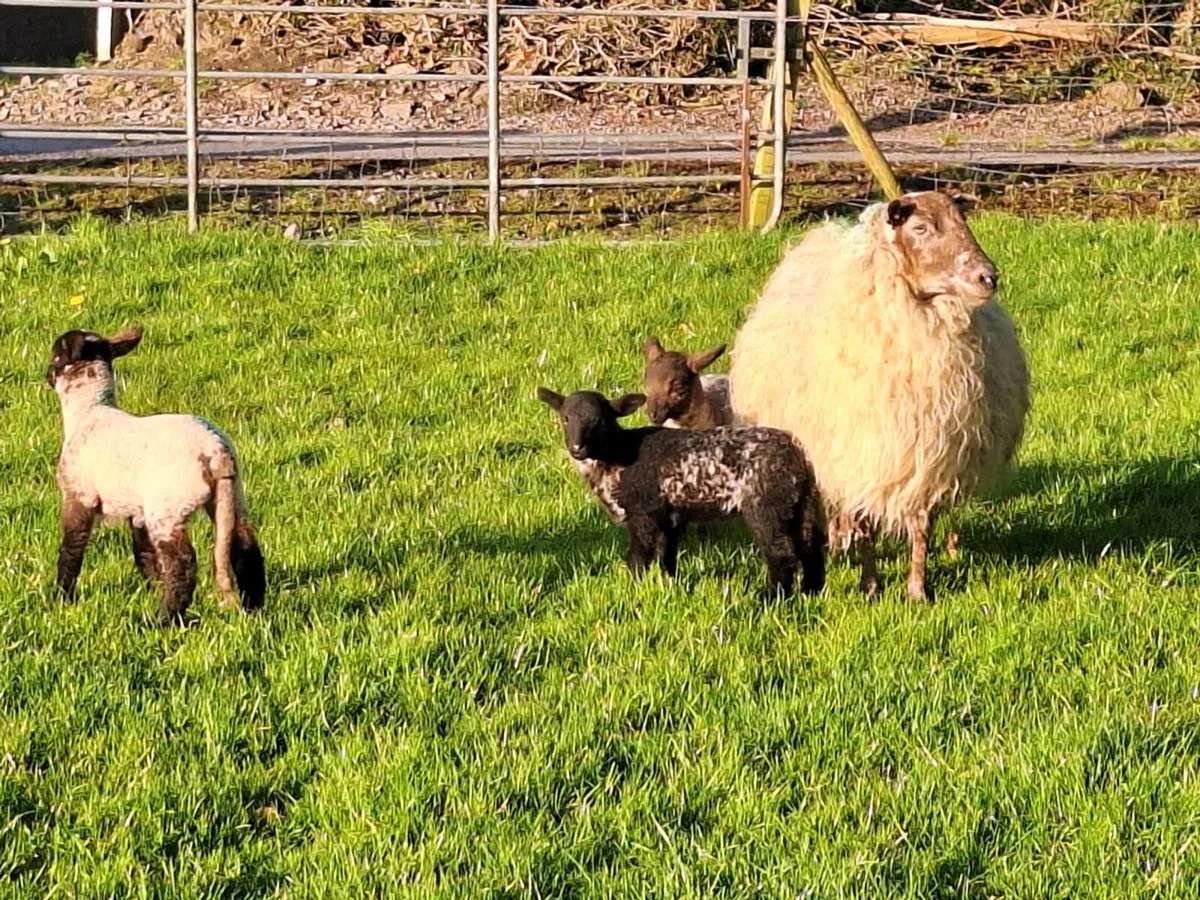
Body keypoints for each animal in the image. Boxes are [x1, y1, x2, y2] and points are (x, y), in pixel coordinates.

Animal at [46, 327, 266, 624]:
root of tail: (216, 451)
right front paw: (152, 588)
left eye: (56, 356)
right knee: (246, 548)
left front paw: (62, 597)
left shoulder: (78, 494)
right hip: (231, 497)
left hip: (167, 508)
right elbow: (143, 553)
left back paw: (162, 620)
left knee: (183, 563)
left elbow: (71, 549)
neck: (90, 411)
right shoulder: (136, 509)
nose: (46, 375)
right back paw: (254, 606)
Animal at [537, 387, 825, 598]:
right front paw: (669, 587)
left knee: (781, 554)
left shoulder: (643, 512)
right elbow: (666, 556)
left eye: (599, 420)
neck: (618, 453)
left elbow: (638, 557)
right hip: (800, 503)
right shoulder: (668, 515)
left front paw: (632, 589)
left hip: (765, 504)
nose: (577, 448)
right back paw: (811, 592)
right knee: (810, 546)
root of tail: (797, 456)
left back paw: (771, 598)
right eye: (565, 418)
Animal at [729, 190, 1029, 601]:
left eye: (962, 222)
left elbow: (921, 527)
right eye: (921, 228)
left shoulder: (925, 456)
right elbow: (866, 525)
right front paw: (870, 586)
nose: (988, 277)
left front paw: (918, 589)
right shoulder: (861, 455)